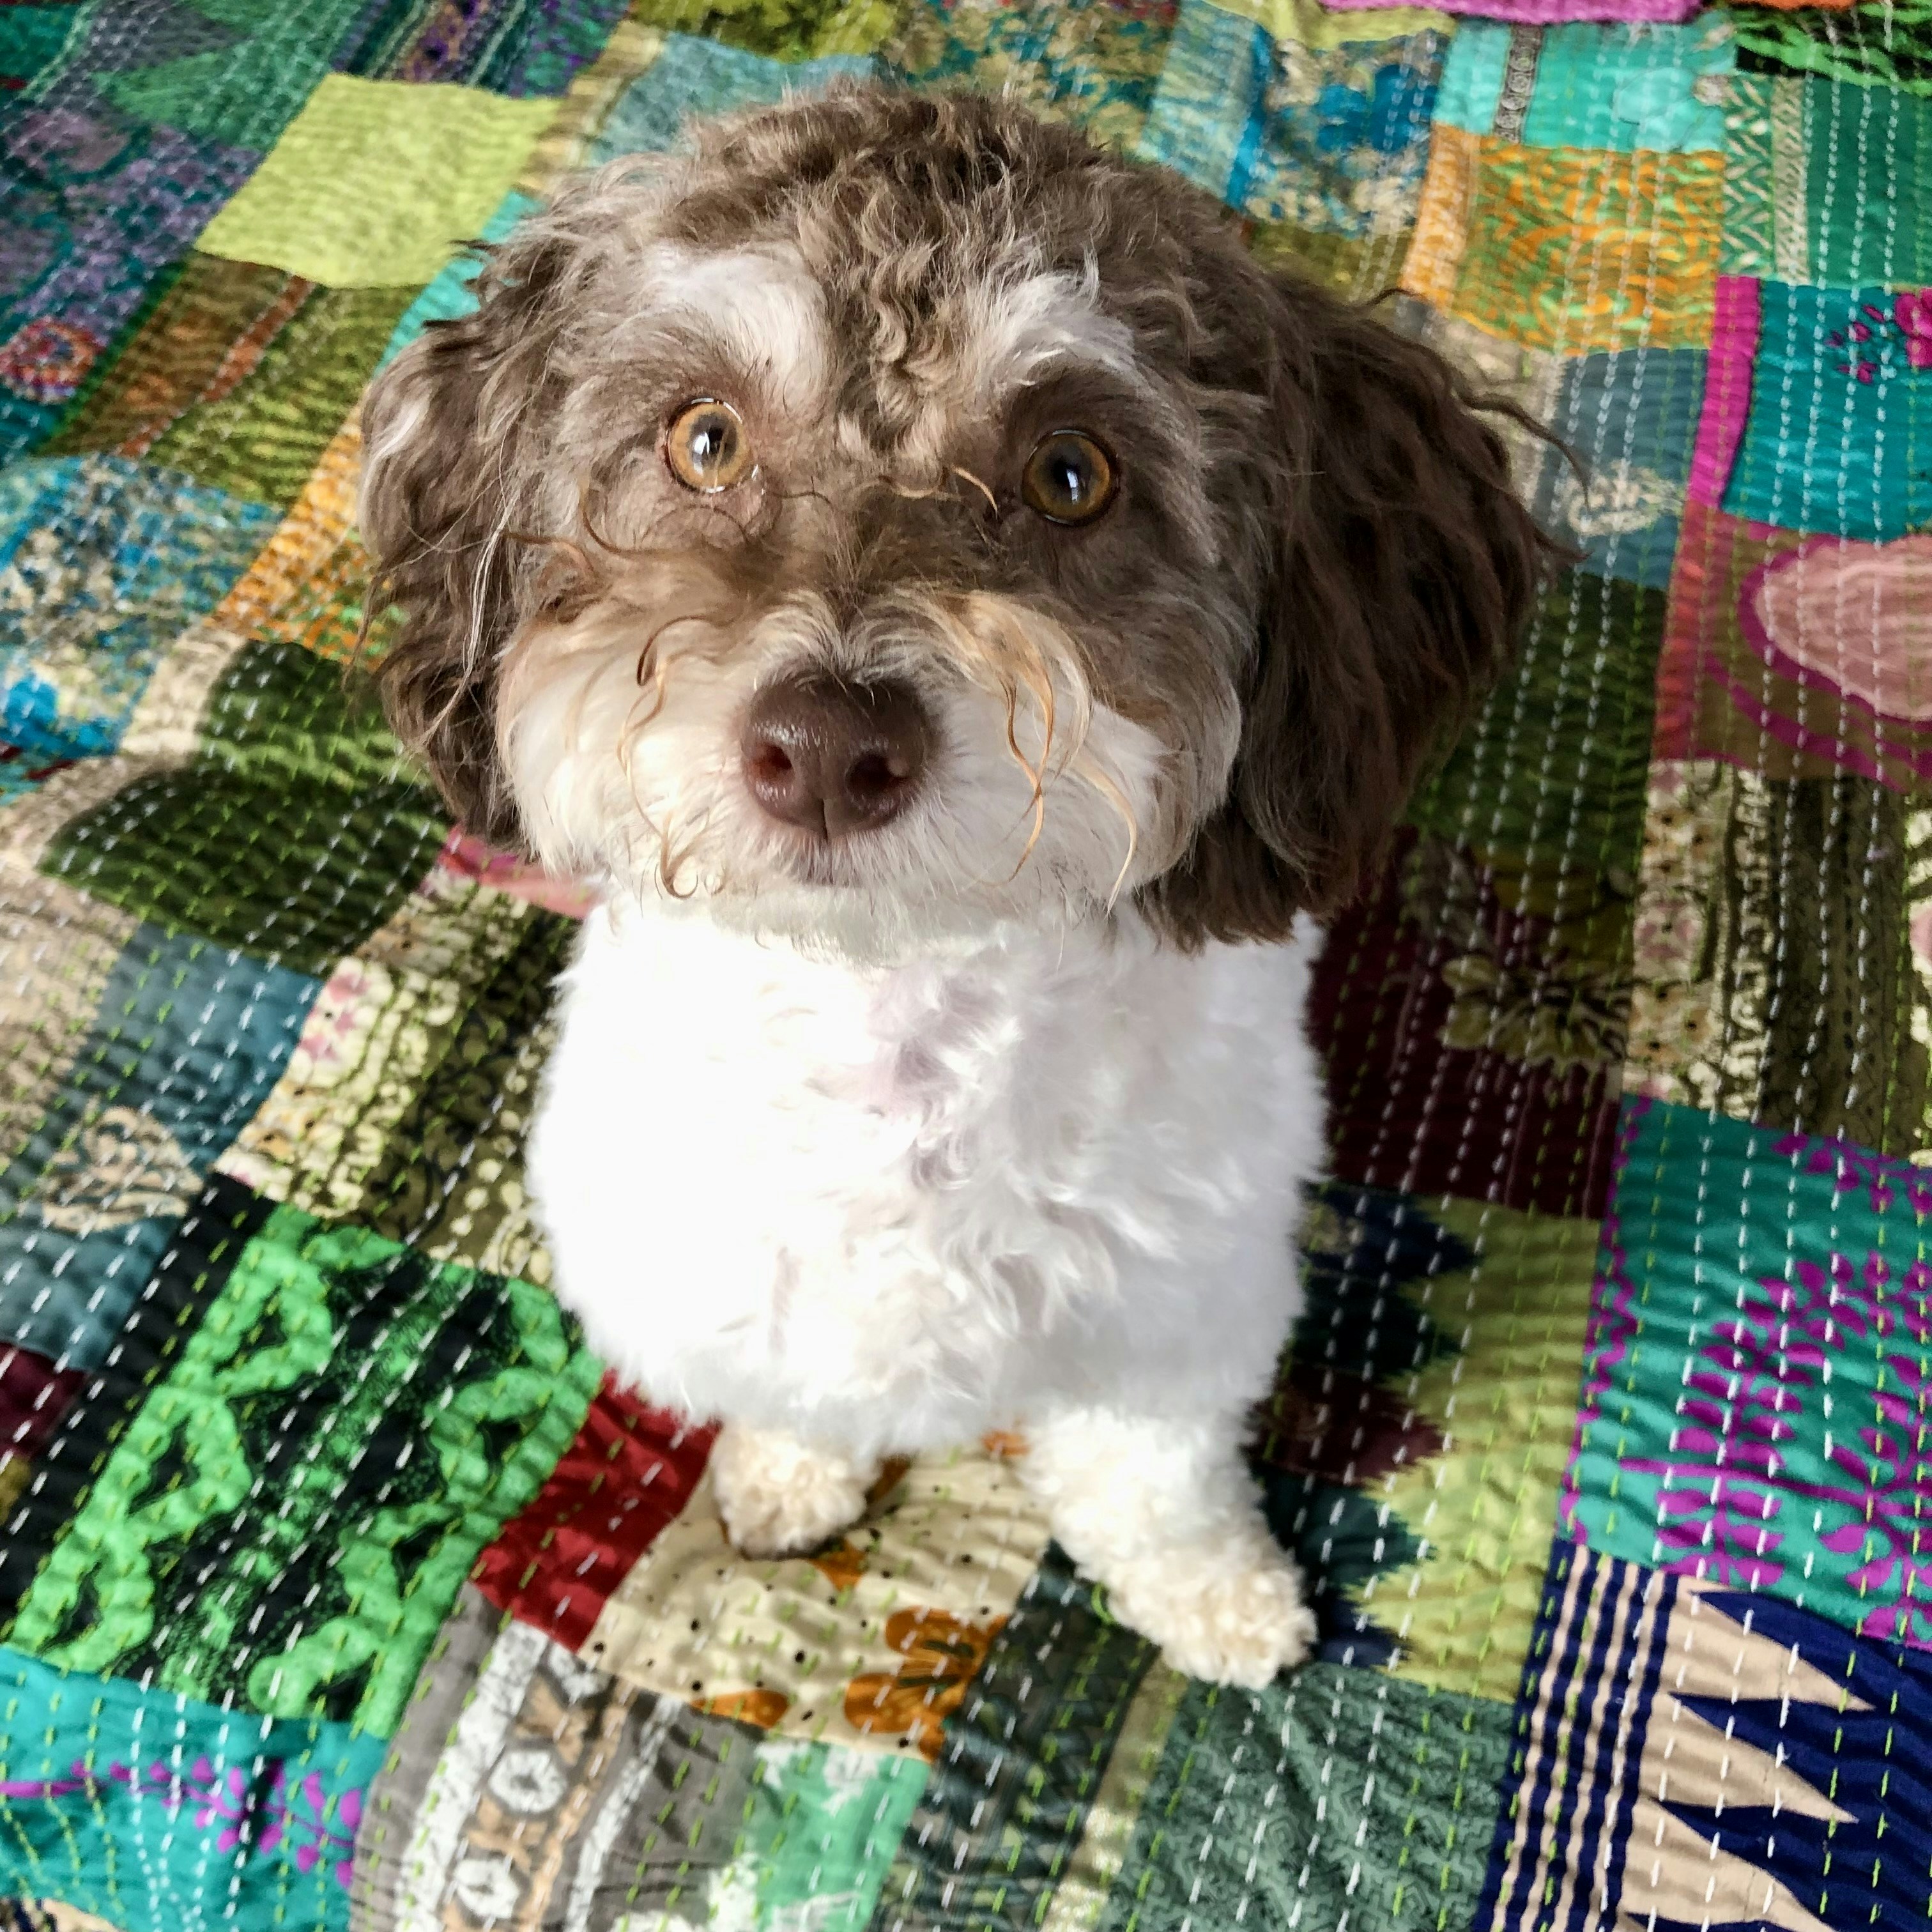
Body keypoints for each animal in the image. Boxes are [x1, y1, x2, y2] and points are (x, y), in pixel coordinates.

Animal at [358, 86, 1549, 1687]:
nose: (825, 746)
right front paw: (788, 1479)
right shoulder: (730, 1285)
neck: (896, 1028)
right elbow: (798, 1389)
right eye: (704, 440)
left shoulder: (1173, 1309)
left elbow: (1154, 1483)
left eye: (1071, 474)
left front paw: (1218, 1597)